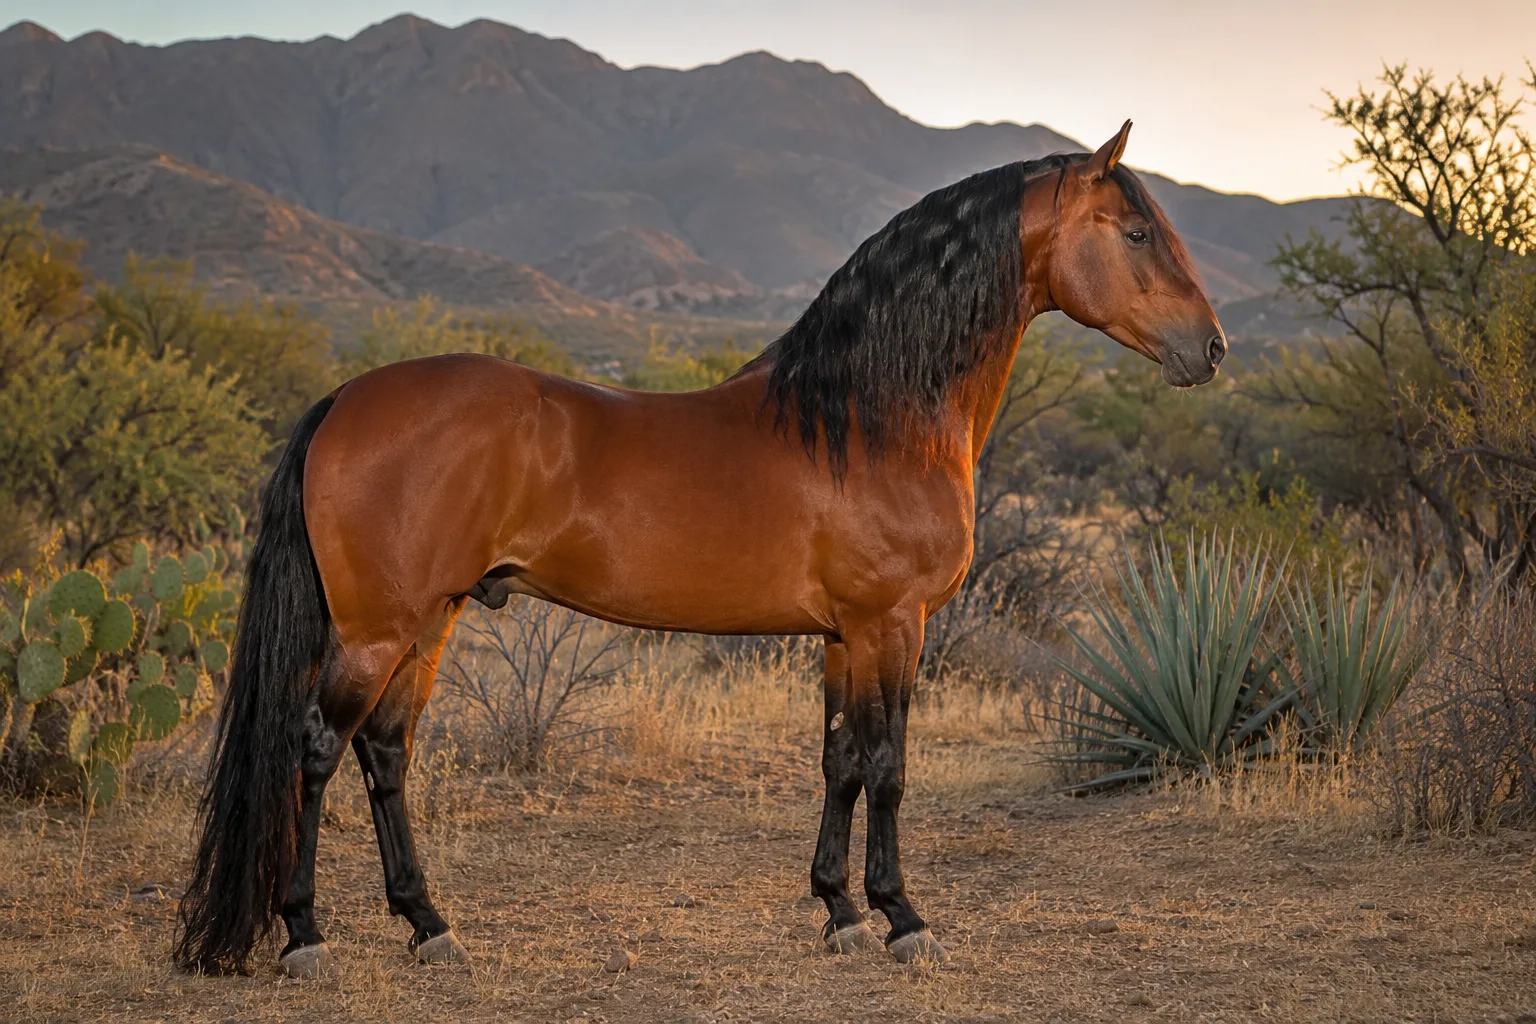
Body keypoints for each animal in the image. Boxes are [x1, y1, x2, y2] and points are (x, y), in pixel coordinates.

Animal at [173, 120, 1225, 976]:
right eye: (1136, 233)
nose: (1211, 350)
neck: (869, 420)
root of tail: (344, 399)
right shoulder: (893, 626)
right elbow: (888, 763)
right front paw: (902, 918)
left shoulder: (843, 635)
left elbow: (841, 760)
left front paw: (839, 912)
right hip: (376, 631)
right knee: (316, 748)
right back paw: (305, 935)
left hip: (428, 623)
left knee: (386, 752)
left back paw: (430, 927)